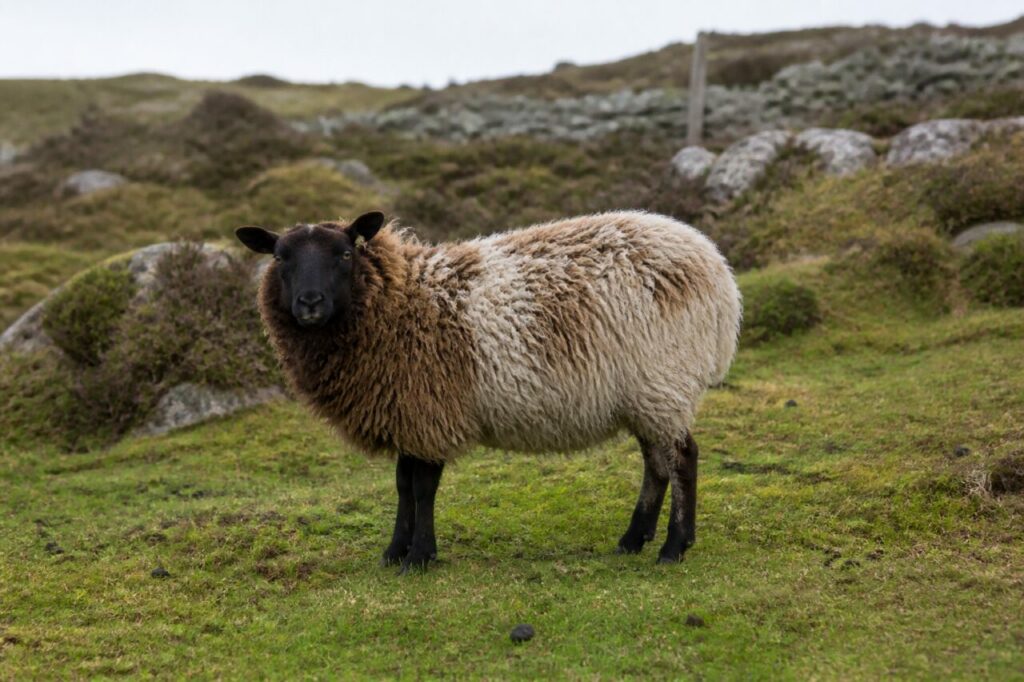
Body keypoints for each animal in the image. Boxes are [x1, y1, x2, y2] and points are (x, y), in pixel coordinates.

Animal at [236, 210, 741, 572]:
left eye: (344, 254)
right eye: (280, 257)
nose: (310, 303)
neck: (397, 303)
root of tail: (718, 271)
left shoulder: (430, 409)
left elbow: (422, 488)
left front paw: (419, 557)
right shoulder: (408, 410)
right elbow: (402, 485)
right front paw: (394, 551)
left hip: (663, 380)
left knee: (682, 458)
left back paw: (674, 548)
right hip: (644, 393)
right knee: (656, 463)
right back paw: (632, 541)